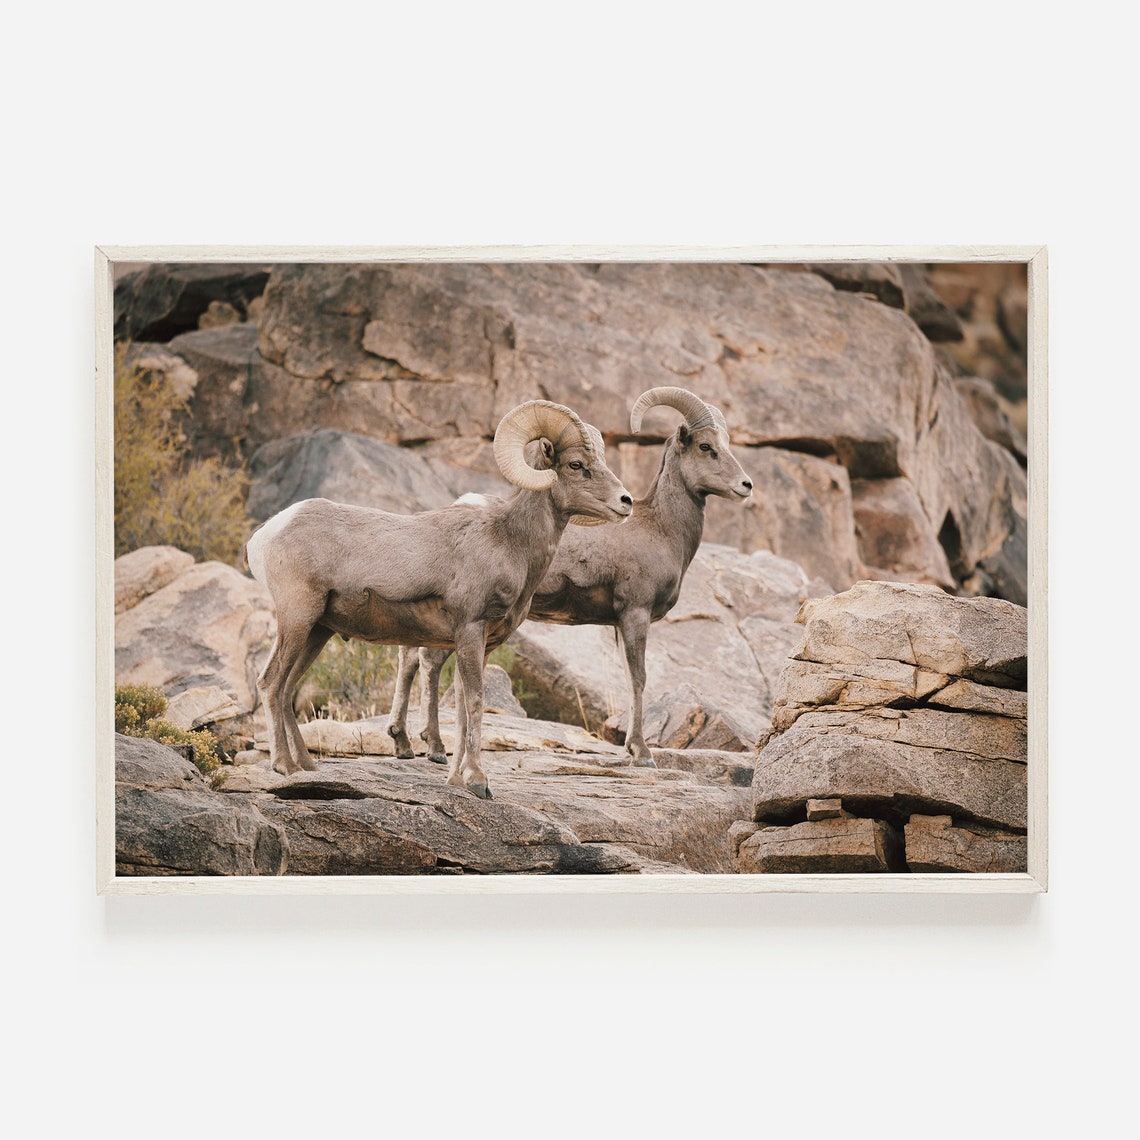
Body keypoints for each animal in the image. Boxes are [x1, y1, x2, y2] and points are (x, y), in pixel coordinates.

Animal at [245, 400, 633, 799]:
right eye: (576, 465)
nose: (626, 502)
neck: (511, 542)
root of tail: (266, 534)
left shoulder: (480, 644)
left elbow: (461, 709)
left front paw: (457, 779)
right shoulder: (470, 630)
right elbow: (475, 702)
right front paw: (478, 782)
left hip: (317, 631)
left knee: (288, 688)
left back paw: (307, 766)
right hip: (297, 619)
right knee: (271, 683)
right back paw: (286, 766)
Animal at [389, 386, 752, 768]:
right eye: (706, 446)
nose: (746, 485)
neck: (662, 529)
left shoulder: (619, 625)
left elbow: (628, 679)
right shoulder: (635, 614)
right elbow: (638, 679)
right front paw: (642, 753)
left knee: (409, 658)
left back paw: (404, 742)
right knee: (429, 663)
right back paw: (434, 748)